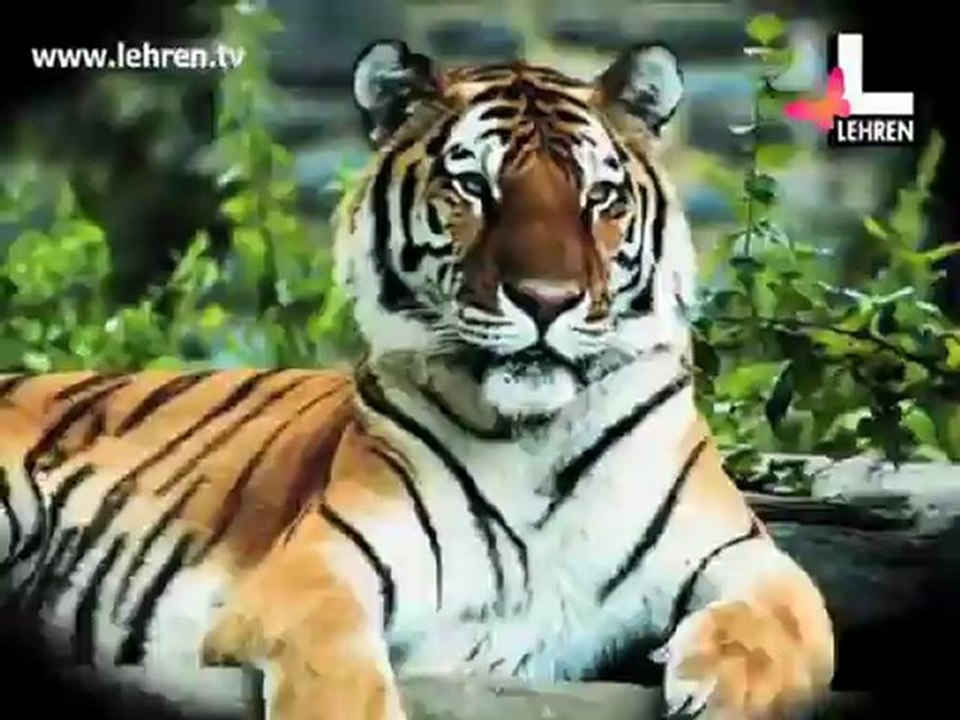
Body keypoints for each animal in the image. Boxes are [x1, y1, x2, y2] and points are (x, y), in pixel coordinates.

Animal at [0, 38, 835, 720]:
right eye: (475, 189)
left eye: (598, 197)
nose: (546, 300)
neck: (534, 437)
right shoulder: (319, 567)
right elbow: (336, 672)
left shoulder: (746, 556)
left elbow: (797, 627)